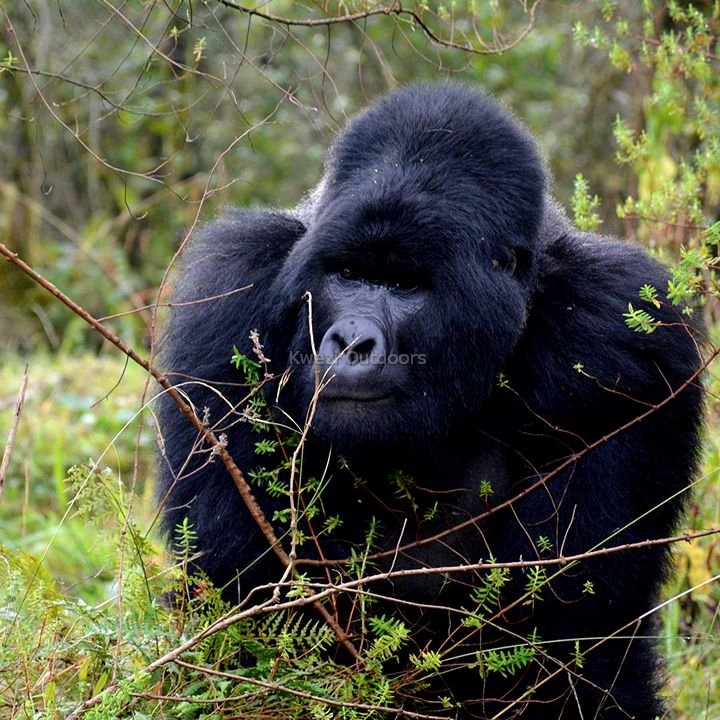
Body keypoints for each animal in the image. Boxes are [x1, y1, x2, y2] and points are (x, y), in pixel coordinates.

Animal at [158, 84, 704, 720]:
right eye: (348, 273)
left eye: (405, 286)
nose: (350, 341)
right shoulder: (231, 292)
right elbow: (246, 577)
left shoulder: (623, 334)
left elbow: (566, 615)